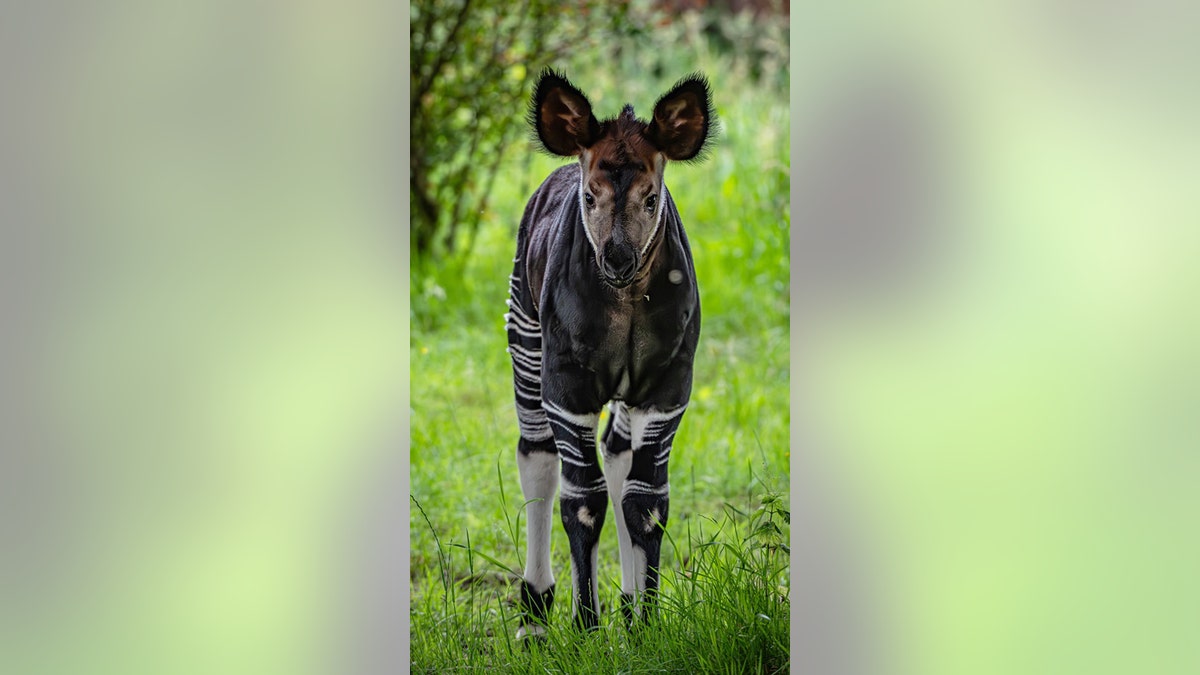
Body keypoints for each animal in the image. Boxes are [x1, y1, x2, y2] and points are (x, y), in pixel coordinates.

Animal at [504, 69, 710, 634]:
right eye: (590, 198)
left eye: (650, 198)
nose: (617, 259)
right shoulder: (568, 389)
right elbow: (582, 500)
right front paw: (585, 626)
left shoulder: (667, 390)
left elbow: (647, 502)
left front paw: (645, 625)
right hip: (525, 340)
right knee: (538, 458)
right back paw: (535, 612)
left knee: (618, 456)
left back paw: (626, 602)